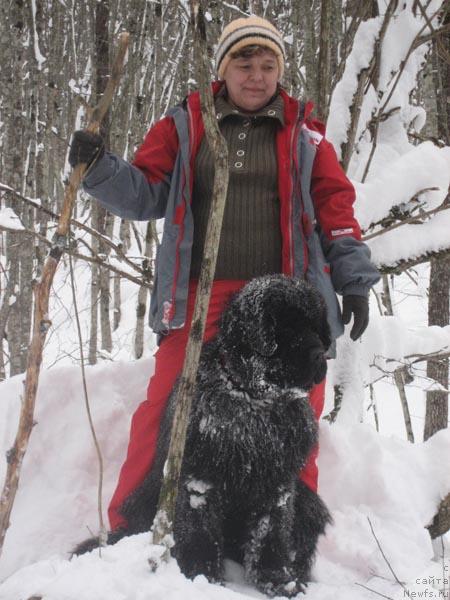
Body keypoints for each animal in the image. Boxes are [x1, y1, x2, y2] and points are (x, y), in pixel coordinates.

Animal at [75, 276, 332, 596]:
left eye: (315, 326)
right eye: (286, 325)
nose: (321, 355)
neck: (250, 401)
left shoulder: (277, 485)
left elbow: (270, 535)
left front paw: (279, 581)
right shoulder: (198, 479)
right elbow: (201, 533)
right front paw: (203, 576)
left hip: (307, 501)